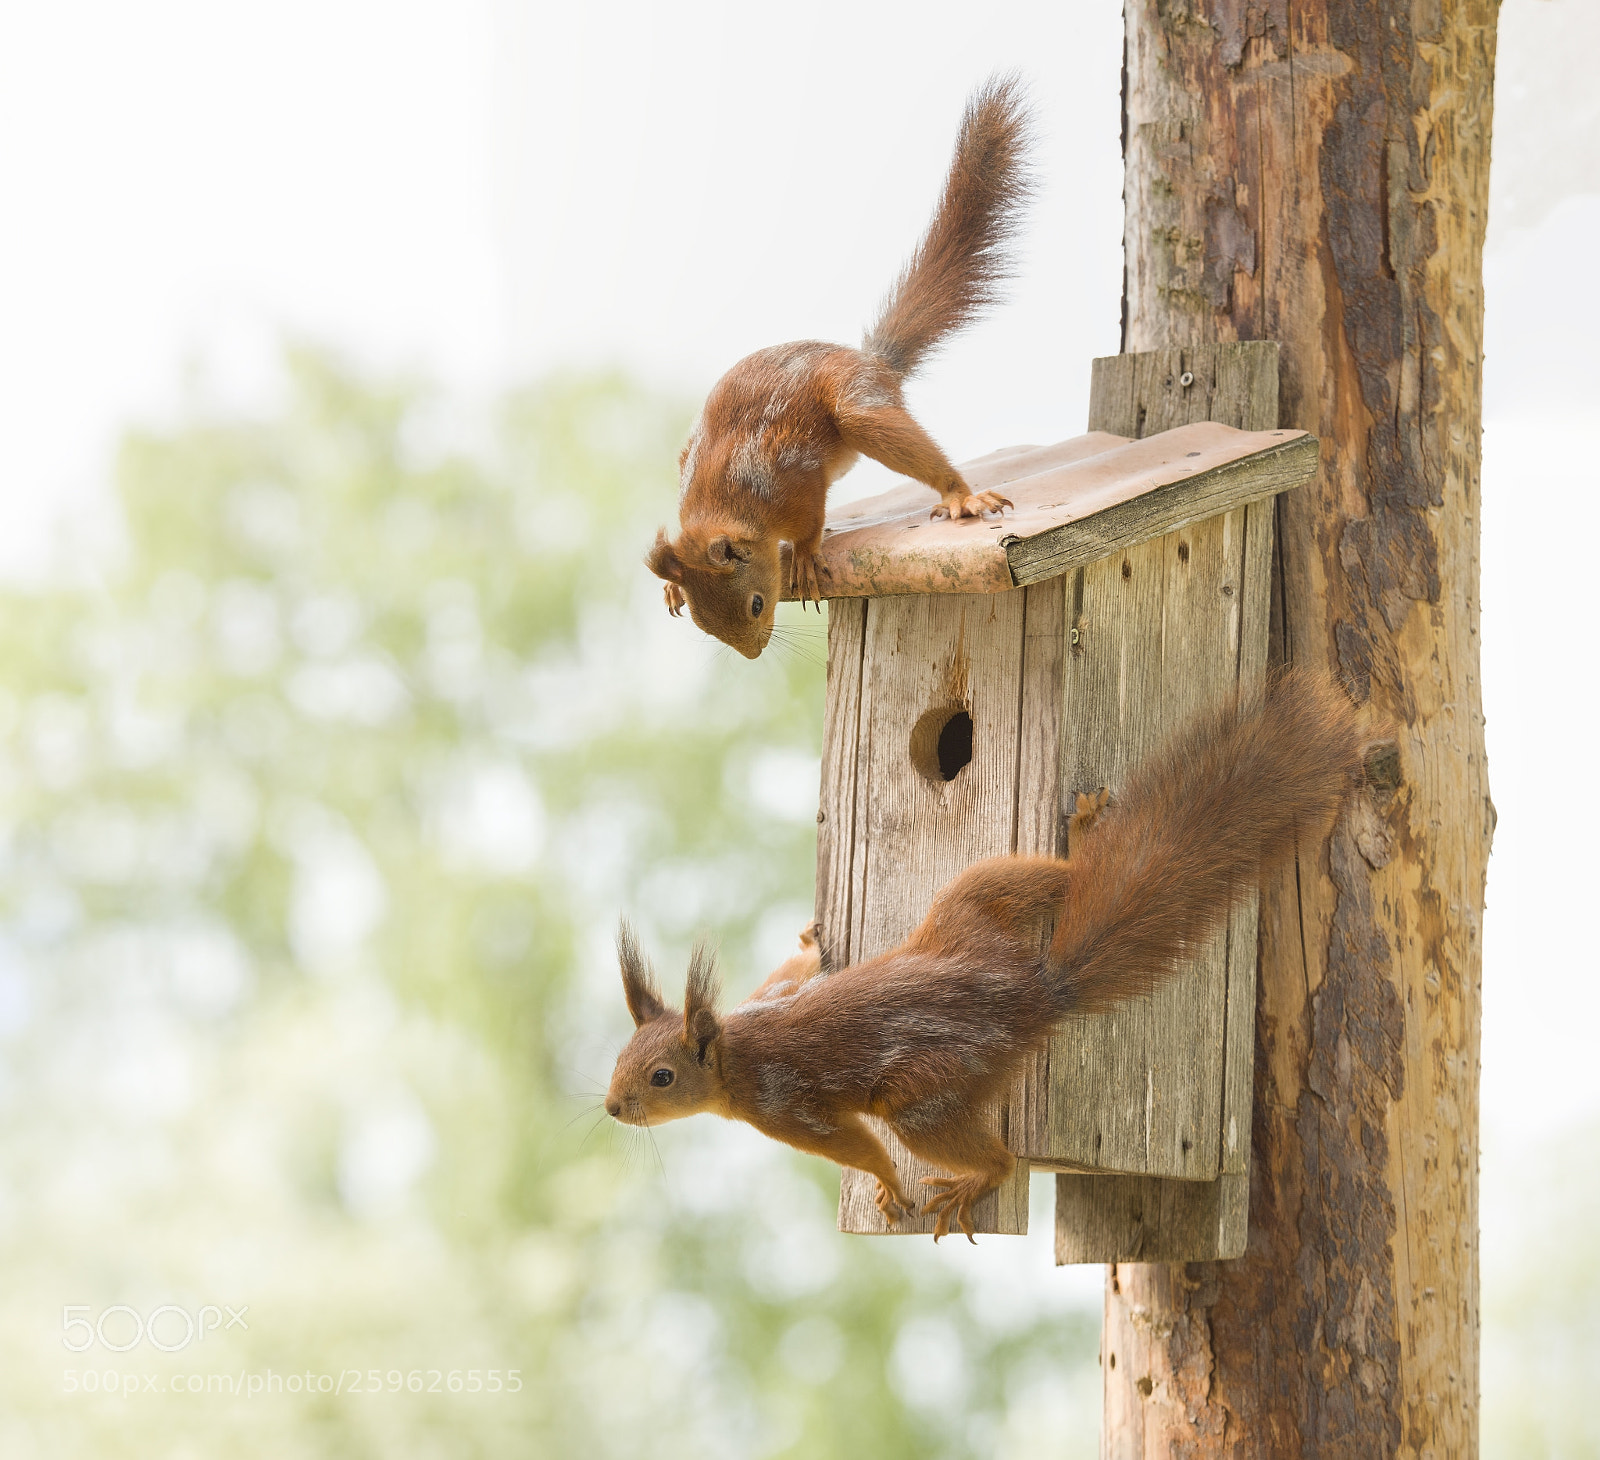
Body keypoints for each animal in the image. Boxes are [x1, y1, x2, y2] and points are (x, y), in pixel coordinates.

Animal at [604, 674, 1368, 1240]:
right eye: (620, 1057)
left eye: (663, 1077)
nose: (612, 1108)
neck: (735, 1049)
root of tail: (1032, 993)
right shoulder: (769, 999)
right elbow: (793, 976)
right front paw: (808, 941)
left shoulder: (787, 1108)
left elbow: (856, 1146)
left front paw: (887, 1186)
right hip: (969, 905)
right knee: (1051, 878)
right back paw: (1085, 831)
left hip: (928, 1090)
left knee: (978, 1148)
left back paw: (976, 1179)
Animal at [646, 75, 1032, 658]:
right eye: (701, 623)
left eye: (756, 604)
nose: (753, 653)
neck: (733, 503)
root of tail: (871, 360)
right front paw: (671, 586)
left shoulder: (795, 479)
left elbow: (810, 522)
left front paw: (805, 557)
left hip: (857, 405)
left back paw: (960, 496)